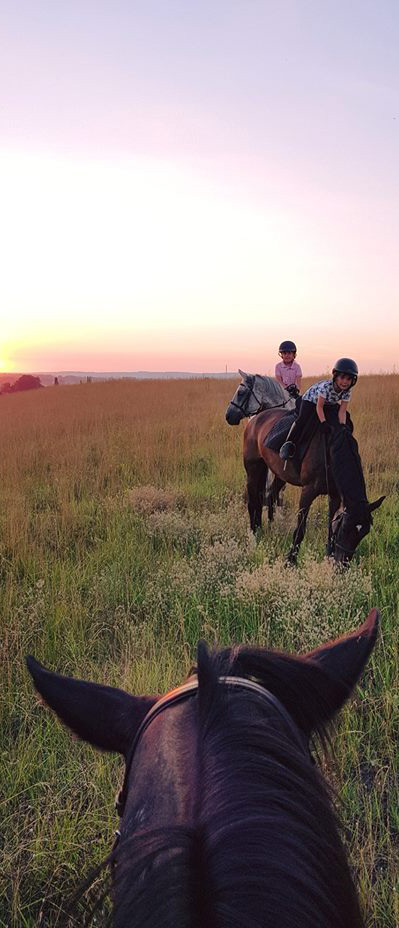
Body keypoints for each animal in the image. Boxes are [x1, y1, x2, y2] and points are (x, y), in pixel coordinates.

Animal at [225, 372, 384, 564]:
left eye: (363, 533)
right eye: (345, 528)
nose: (342, 564)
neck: (331, 448)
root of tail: (256, 418)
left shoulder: (335, 495)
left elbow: (330, 528)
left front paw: (328, 557)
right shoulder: (308, 491)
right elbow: (300, 528)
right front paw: (291, 560)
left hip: (276, 472)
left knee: (268, 496)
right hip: (253, 469)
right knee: (253, 501)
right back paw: (254, 536)